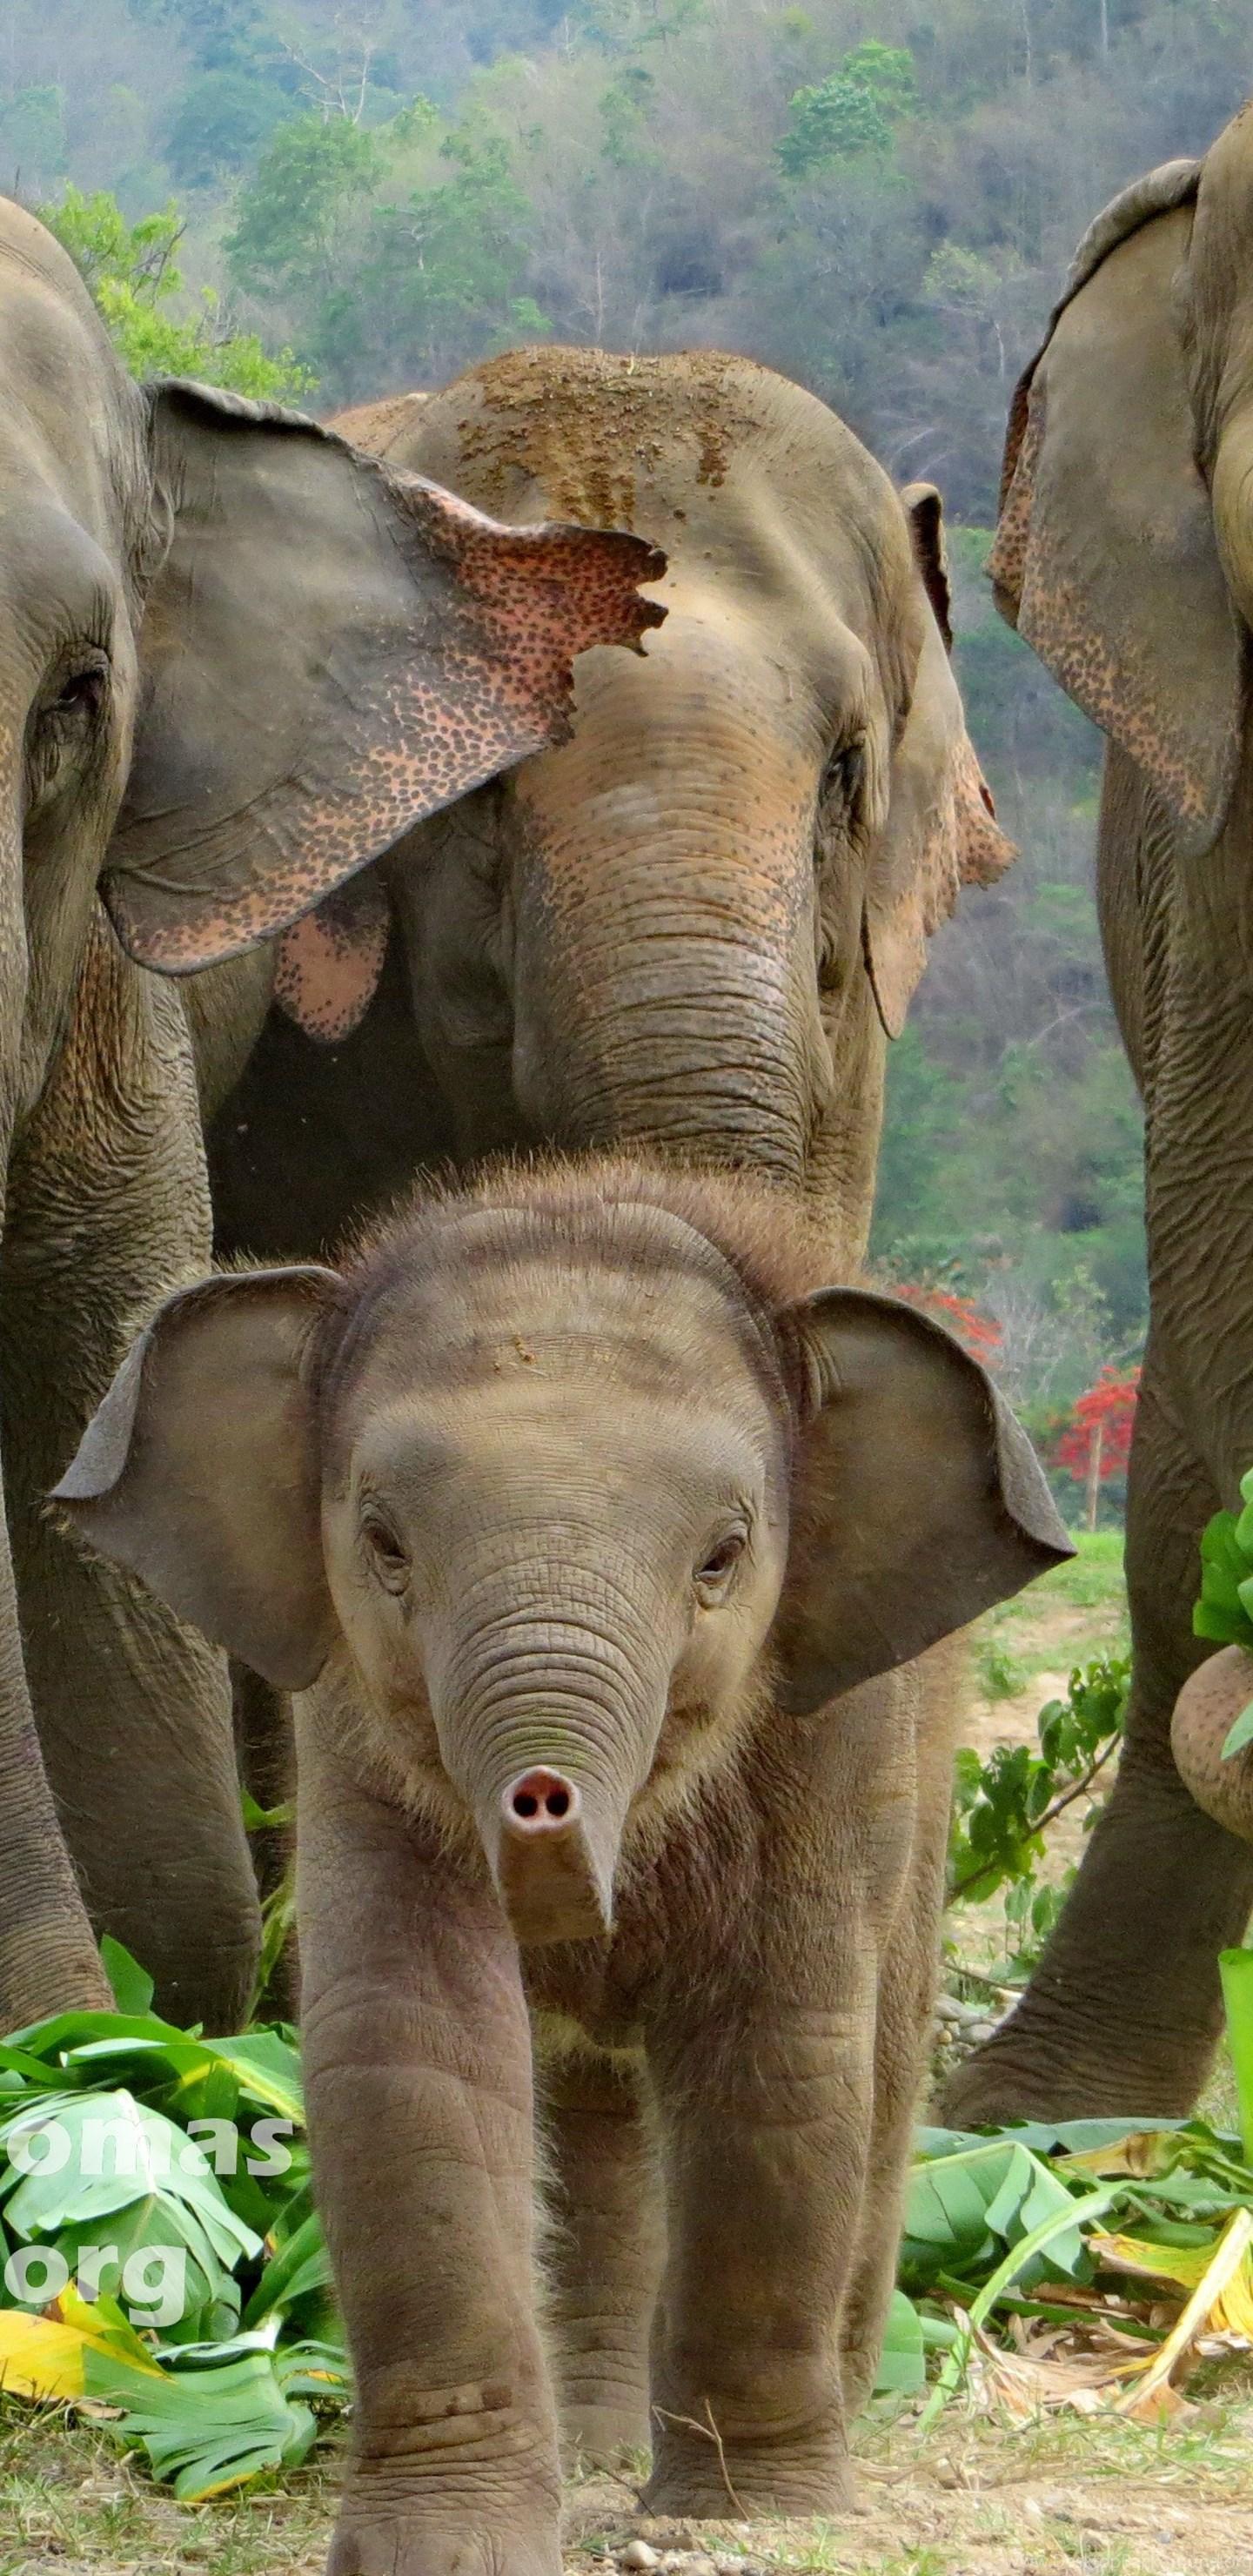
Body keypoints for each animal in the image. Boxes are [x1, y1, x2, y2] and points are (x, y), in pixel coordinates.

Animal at [57, 1153, 1069, 2565]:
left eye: (723, 1556)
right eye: (384, 1546)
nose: (544, 1806)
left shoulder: (832, 1736)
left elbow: (778, 2055)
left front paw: (749, 2519)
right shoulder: (352, 1724)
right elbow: (409, 2047)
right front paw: (446, 2546)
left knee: (874, 2068)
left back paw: (839, 2417)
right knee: (592, 2109)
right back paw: (598, 2443)